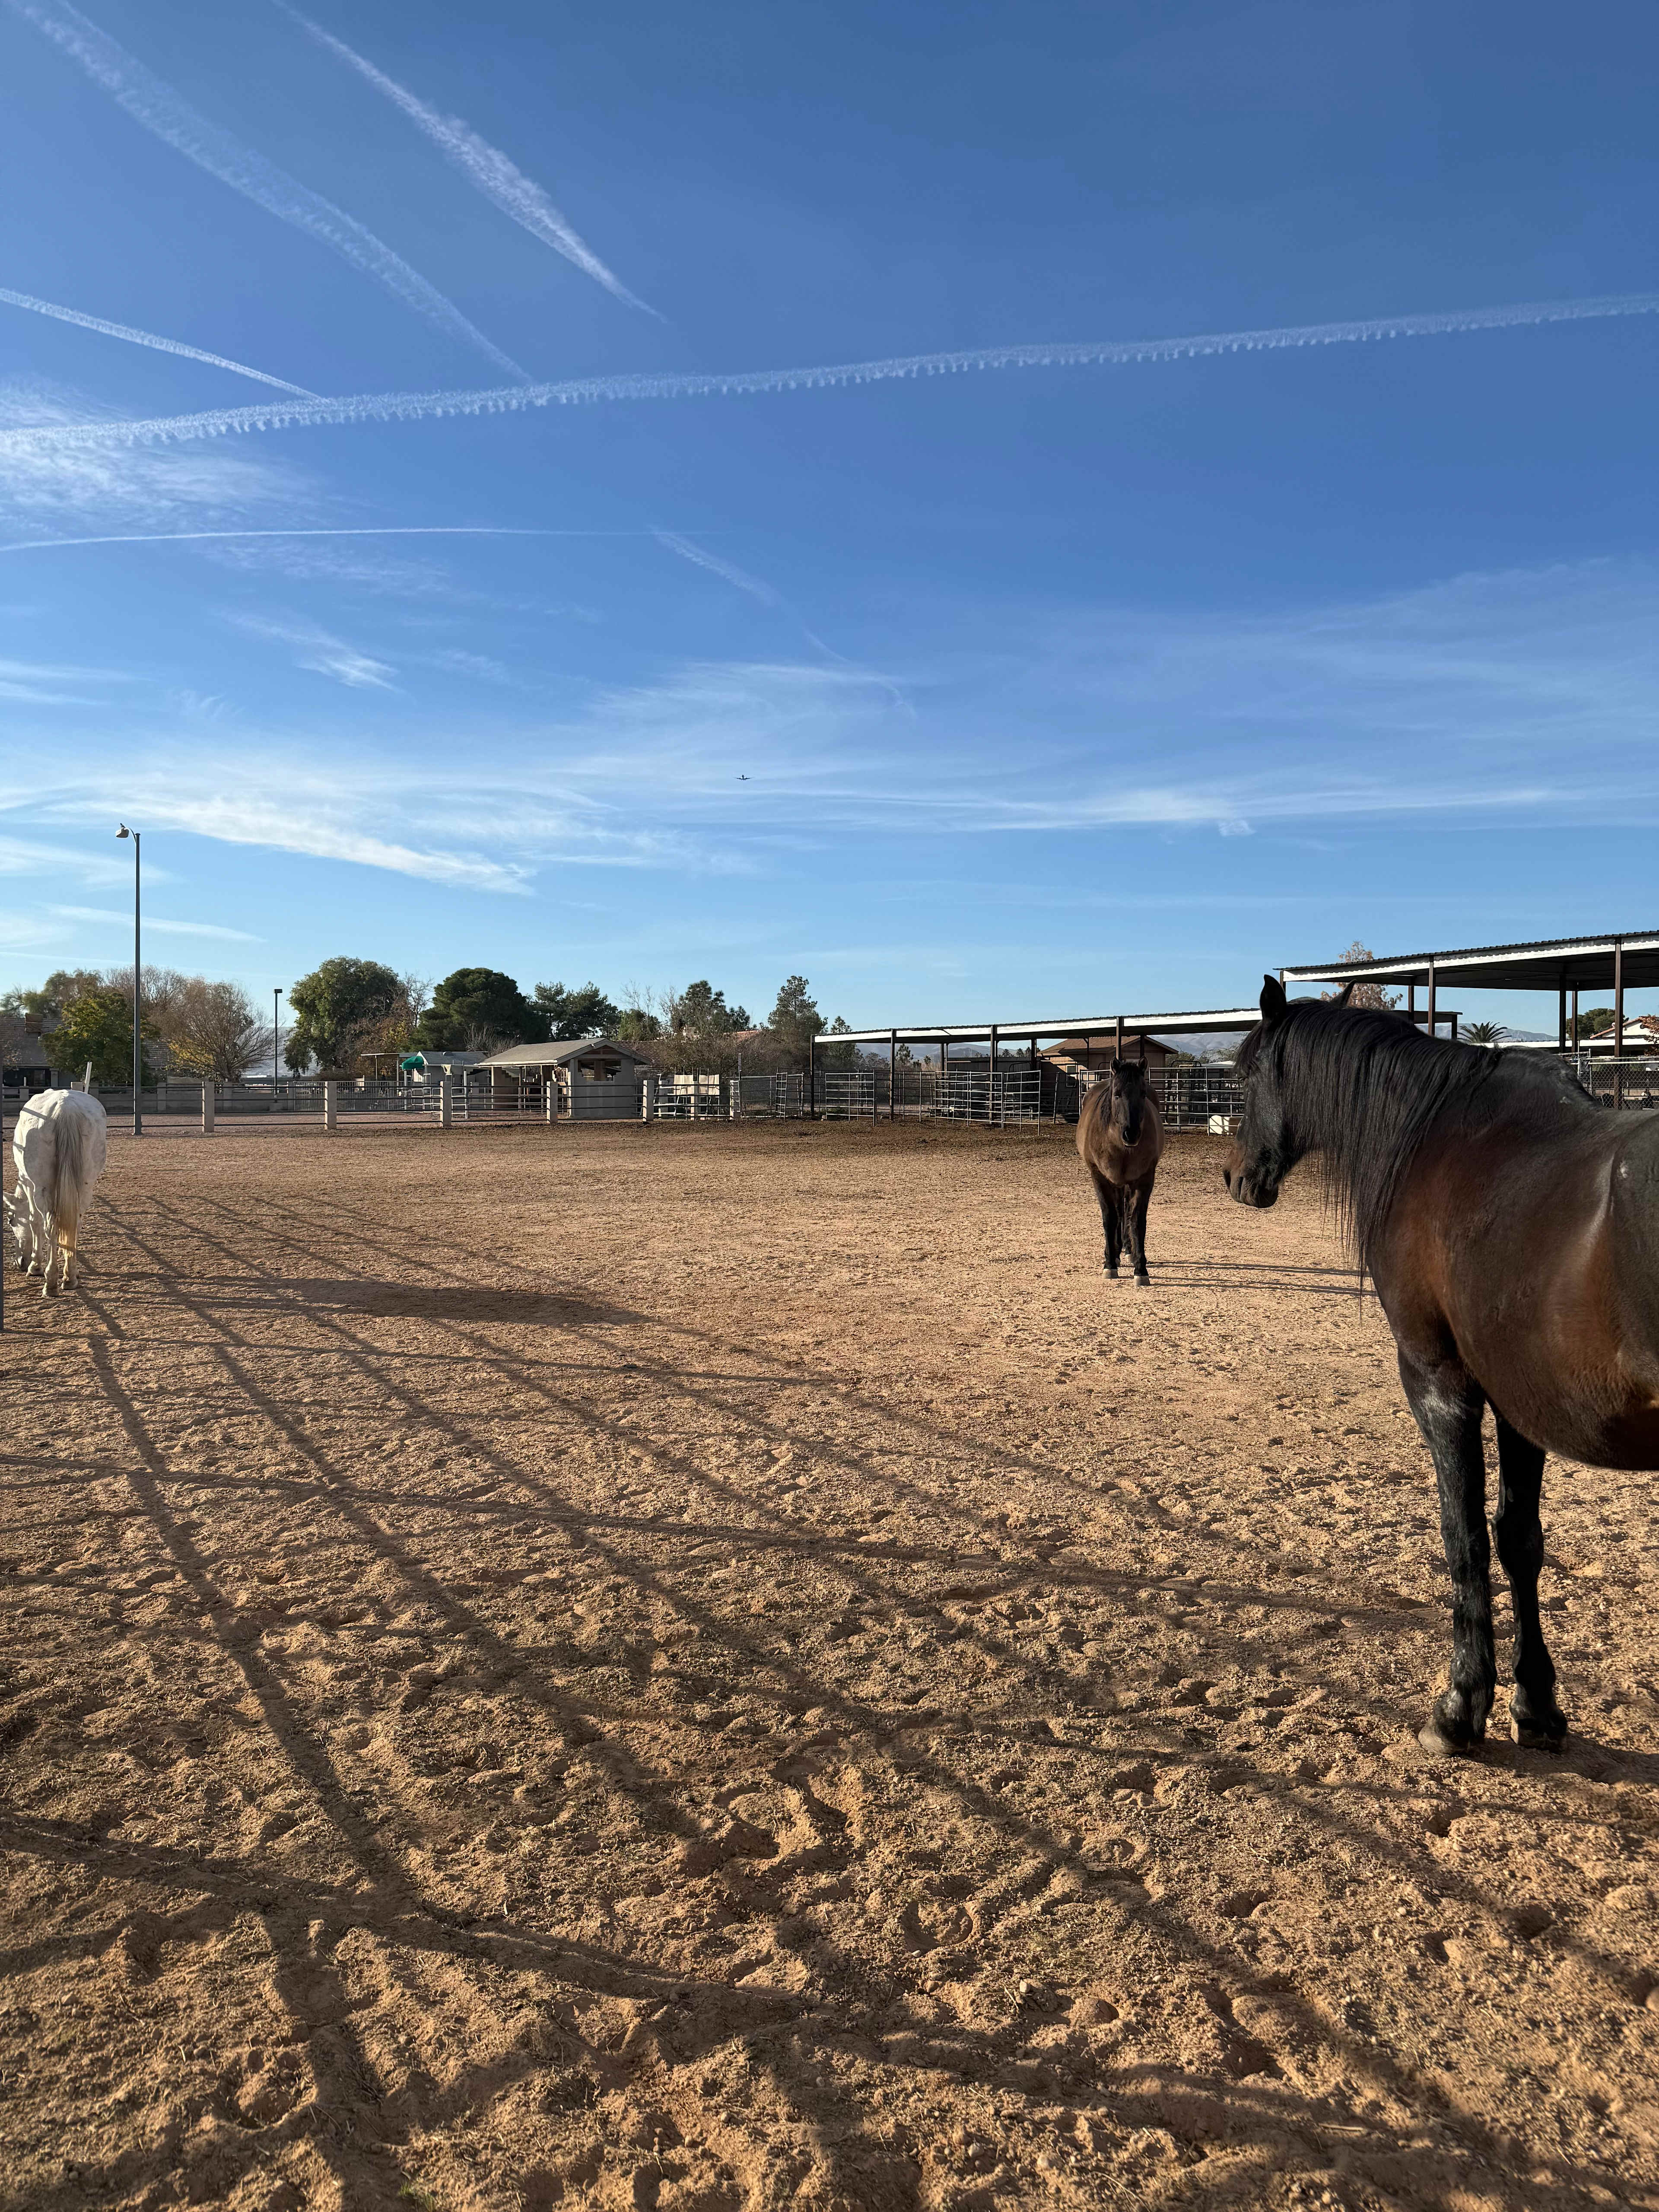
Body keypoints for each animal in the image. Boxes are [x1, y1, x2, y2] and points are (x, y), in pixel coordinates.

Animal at [7, 1088, 108, 1296]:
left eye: (11, 1220)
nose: (19, 1262)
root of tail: (65, 1109)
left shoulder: (29, 1184)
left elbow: (34, 1222)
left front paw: (35, 1266)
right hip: (85, 1187)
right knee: (75, 1224)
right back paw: (70, 1277)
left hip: (41, 1189)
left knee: (50, 1227)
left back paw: (51, 1282)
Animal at [1077, 1056, 1166, 1287]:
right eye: (1117, 1094)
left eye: (1142, 1094)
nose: (1131, 1134)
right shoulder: (1100, 1178)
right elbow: (1110, 1218)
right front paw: (1110, 1264)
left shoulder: (1144, 1179)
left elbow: (1137, 1220)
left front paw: (1141, 1269)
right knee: (1118, 1212)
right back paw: (1116, 1252)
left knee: (1125, 1211)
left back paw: (1128, 1250)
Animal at [1224, 973, 1659, 1758]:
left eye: (1245, 1076)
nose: (1236, 1177)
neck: (1444, 1137)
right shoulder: (1522, 1397)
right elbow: (1519, 1541)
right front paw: (1535, 1705)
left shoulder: (1438, 1383)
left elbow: (1464, 1540)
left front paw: (1460, 1708)